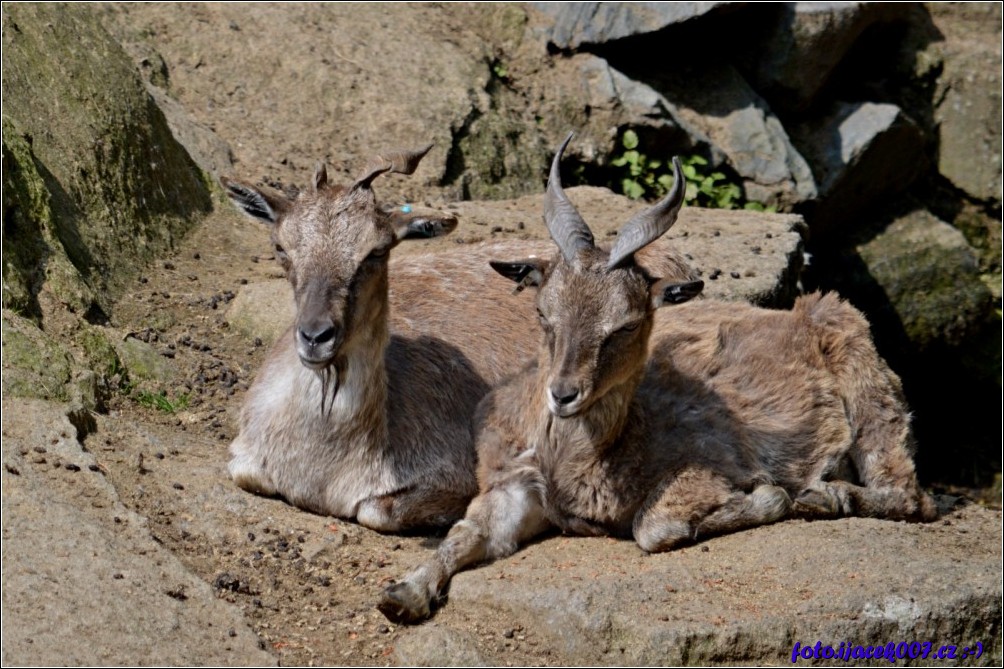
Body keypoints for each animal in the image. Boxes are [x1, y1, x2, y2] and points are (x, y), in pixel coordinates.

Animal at [377, 132, 931, 622]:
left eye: (625, 324)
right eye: (542, 312)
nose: (563, 394)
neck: (582, 460)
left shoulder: (709, 466)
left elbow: (655, 526)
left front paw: (777, 496)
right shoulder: (513, 484)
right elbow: (464, 533)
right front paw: (403, 593)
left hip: (869, 396)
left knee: (908, 493)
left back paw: (829, 494)